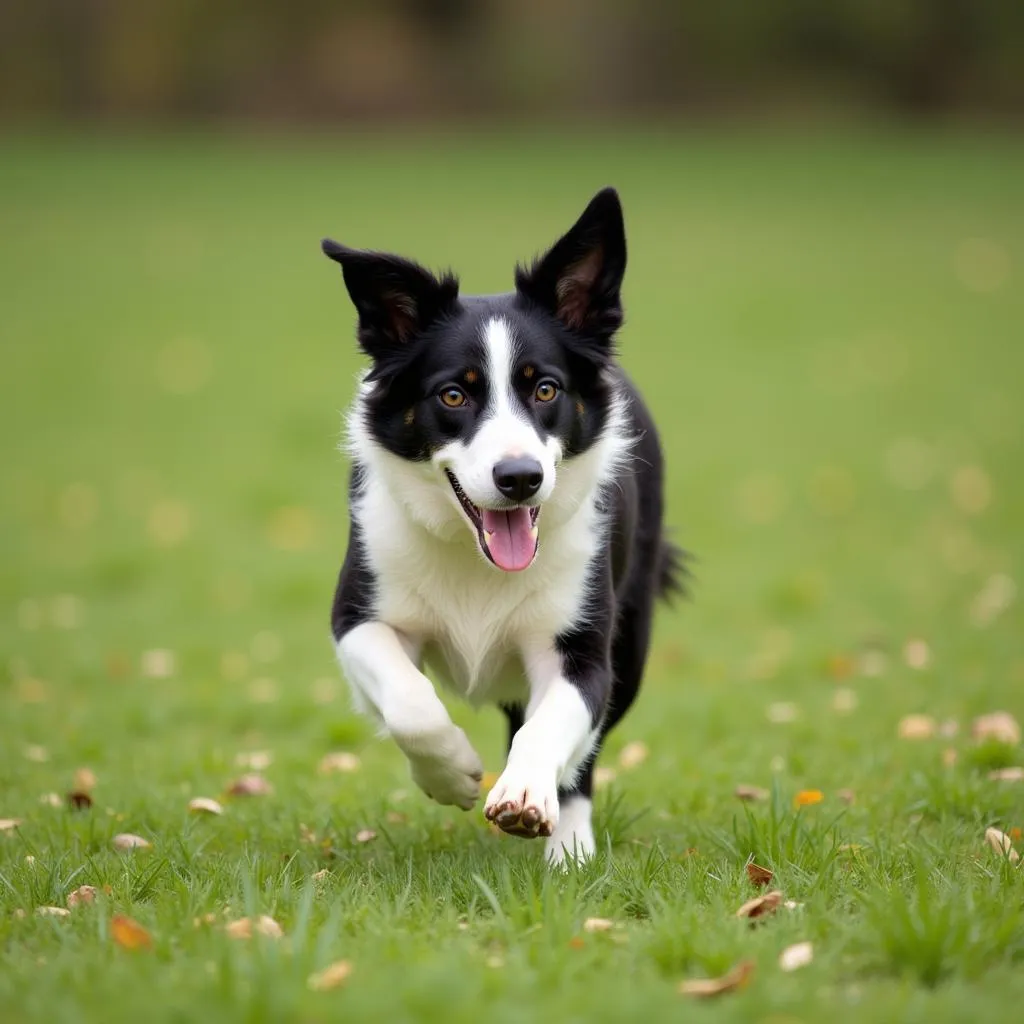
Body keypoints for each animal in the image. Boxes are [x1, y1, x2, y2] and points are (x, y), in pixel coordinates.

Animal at [323, 188, 684, 860]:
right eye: (454, 396)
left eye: (545, 389)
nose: (520, 478)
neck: (475, 559)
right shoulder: (357, 618)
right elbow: (410, 703)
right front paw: (451, 774)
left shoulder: (582, 648)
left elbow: (552, 725)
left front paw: (525, 796)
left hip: (633, 639)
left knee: (582, 750)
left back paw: (570, 846)